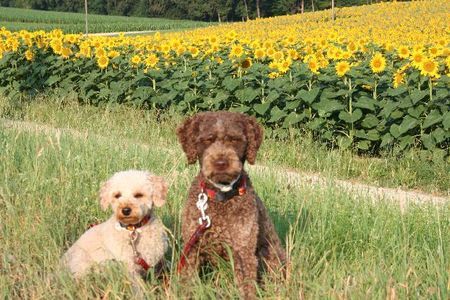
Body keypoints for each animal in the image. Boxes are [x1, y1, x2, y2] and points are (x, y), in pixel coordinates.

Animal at [176, 111, 284, 298]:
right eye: (208, 140)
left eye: (234, 140)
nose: (221, 163)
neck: (221, 196)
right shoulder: (192, 248)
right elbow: (187, 283)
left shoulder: (243, 251)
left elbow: (247, 288)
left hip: (270, 255)